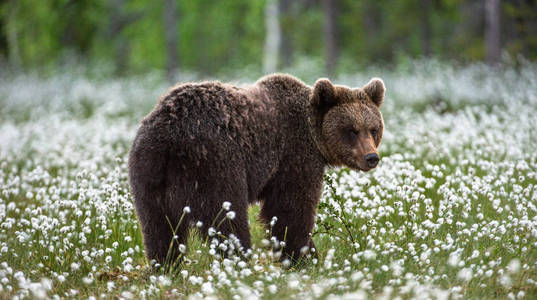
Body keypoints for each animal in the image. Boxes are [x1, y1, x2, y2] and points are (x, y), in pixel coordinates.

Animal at [127, 74, 384, 266]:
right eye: (351, 130)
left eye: (373, 129)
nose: (371, 157)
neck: (314, 136)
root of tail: (168, 136)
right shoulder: (293, 155)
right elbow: (290, 209)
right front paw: (305, 257)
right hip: (214, 163)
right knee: (227, 218)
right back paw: (240, 262)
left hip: (149, 171)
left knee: (158, 226)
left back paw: (166, 266)